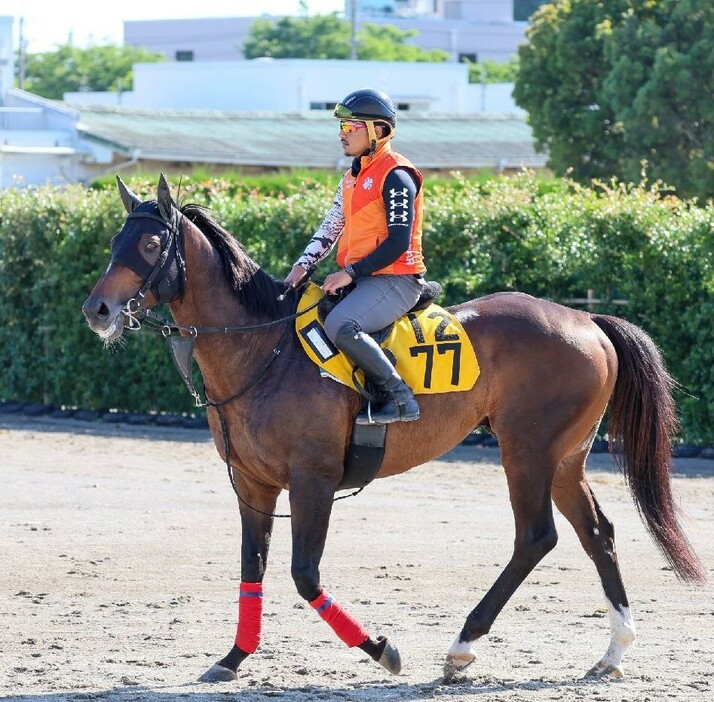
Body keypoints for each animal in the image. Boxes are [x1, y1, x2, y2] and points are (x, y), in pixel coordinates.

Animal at [80, 176, 704, 688]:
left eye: (151, 245)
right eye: (114, 242)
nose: (98, 309)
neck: (263, 347)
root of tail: (586, 320)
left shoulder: (312, 480)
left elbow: (304, 575)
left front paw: (381, 649)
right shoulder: (252, 485)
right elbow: (251, 567)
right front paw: (234, 658)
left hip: (527, 452)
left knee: (536, 537)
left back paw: (461, 647)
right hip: (565, 459)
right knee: (596, 533)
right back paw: (612, 651)